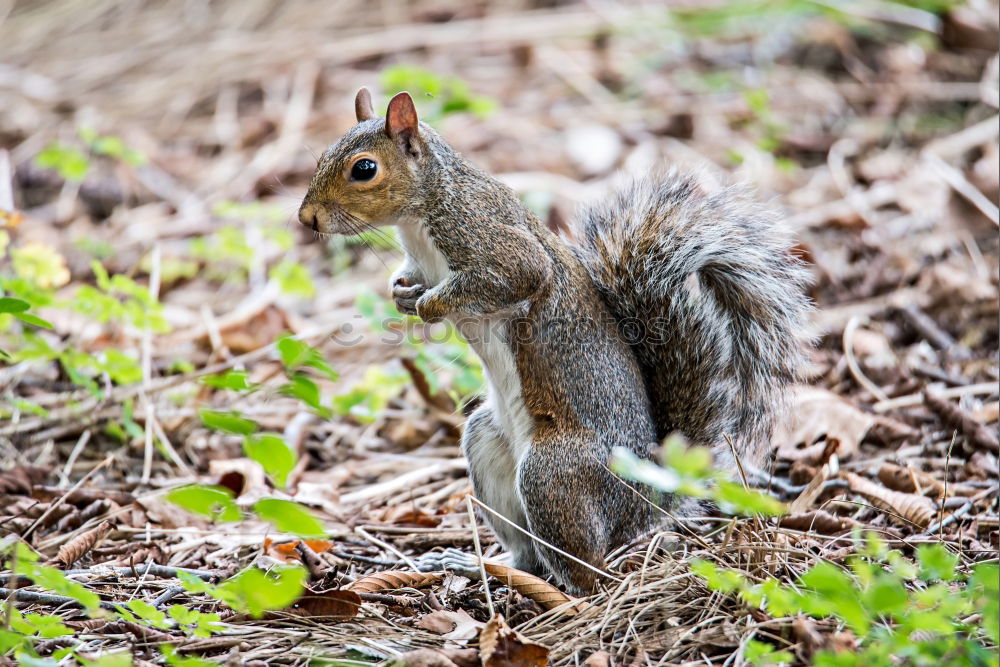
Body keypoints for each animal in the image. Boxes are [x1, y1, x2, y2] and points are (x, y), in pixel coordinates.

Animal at [296, 88, 812, 596]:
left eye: (364, 169)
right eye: (321, 155)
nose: (307, 218)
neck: (426, 208)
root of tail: (645, 497)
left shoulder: (490, 238)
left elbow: (515, 275)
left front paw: (429, 305)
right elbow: (409, 279)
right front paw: (402, 294)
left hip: (553, 473)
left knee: (588, 575)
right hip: (487, 444)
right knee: (529, 553)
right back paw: (473, 564)